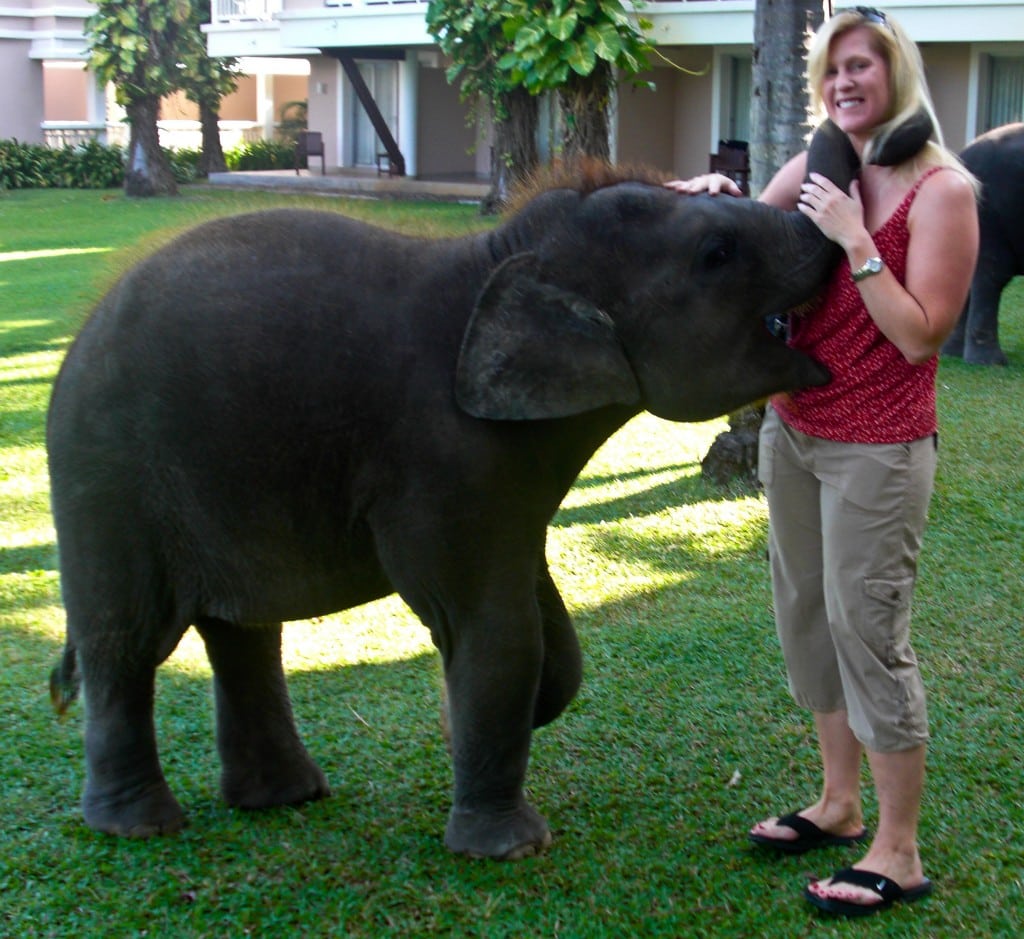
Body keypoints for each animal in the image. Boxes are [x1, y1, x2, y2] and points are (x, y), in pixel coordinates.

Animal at [47, 133, 860, 860]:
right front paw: (510, 845)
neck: (503, 258)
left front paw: (472, 716)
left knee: (241, 634)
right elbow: (496, 628)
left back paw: (283, 797)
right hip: (107, 477)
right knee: (127, 640)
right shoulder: (441, 456)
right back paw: (140, 825)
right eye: (717, 253)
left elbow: (547, 631)